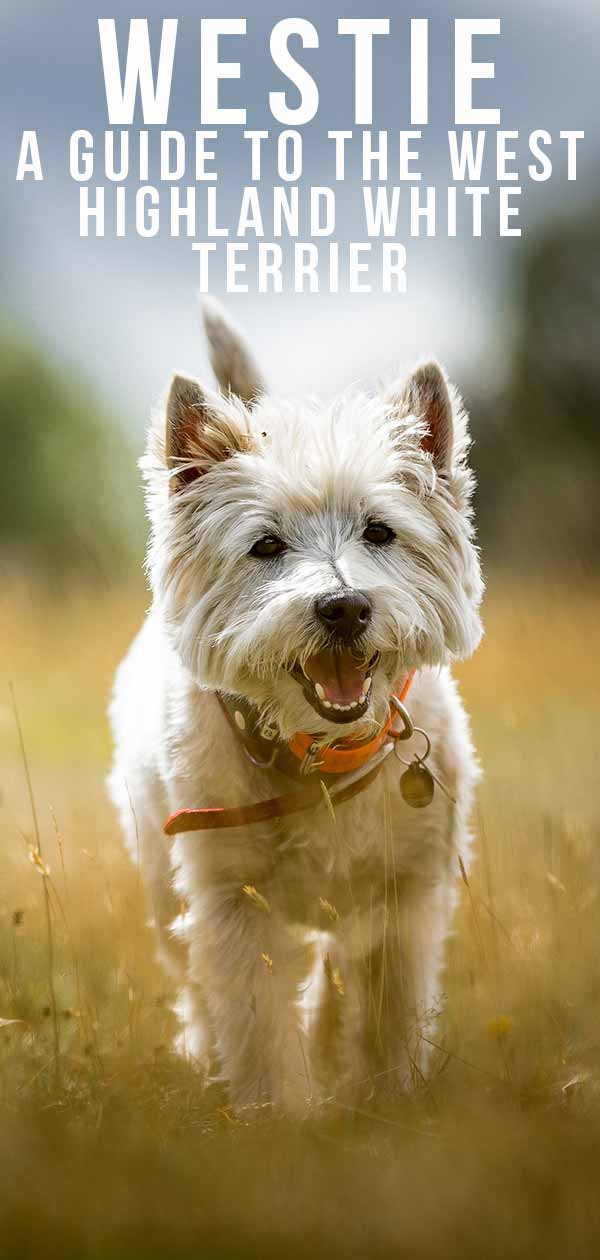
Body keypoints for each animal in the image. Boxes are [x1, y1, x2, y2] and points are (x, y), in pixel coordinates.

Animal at [107, 304, 484, 1113]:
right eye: (265, 546)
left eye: (380, 531)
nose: (343, 607)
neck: (318, 756)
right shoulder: (230, 900)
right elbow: (254, 1020)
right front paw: (276, 1117)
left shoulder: (408, 892)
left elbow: (391, 1007)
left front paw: (391, 1096)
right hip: (159, 876)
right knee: (194, 978)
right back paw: (205, 1050)